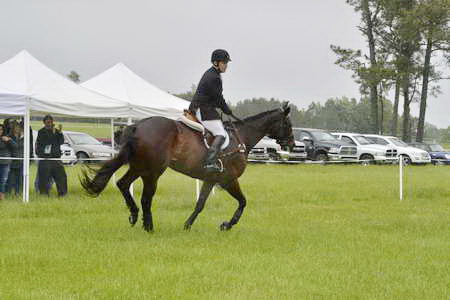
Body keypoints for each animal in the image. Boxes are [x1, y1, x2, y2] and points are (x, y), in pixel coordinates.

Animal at [80, 103, 296, 232]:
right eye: (287, 123)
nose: (292, 144)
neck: (242, 137)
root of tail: (138, 126)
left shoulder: (211, 179)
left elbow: (200, 204)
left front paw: (187, 225)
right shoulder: (228, 179)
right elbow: (243, 202)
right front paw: (227, 225)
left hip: (139, 166)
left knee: (123, 184)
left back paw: (134, 216)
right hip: (153, 171)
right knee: (146, 198)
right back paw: (149, 226)